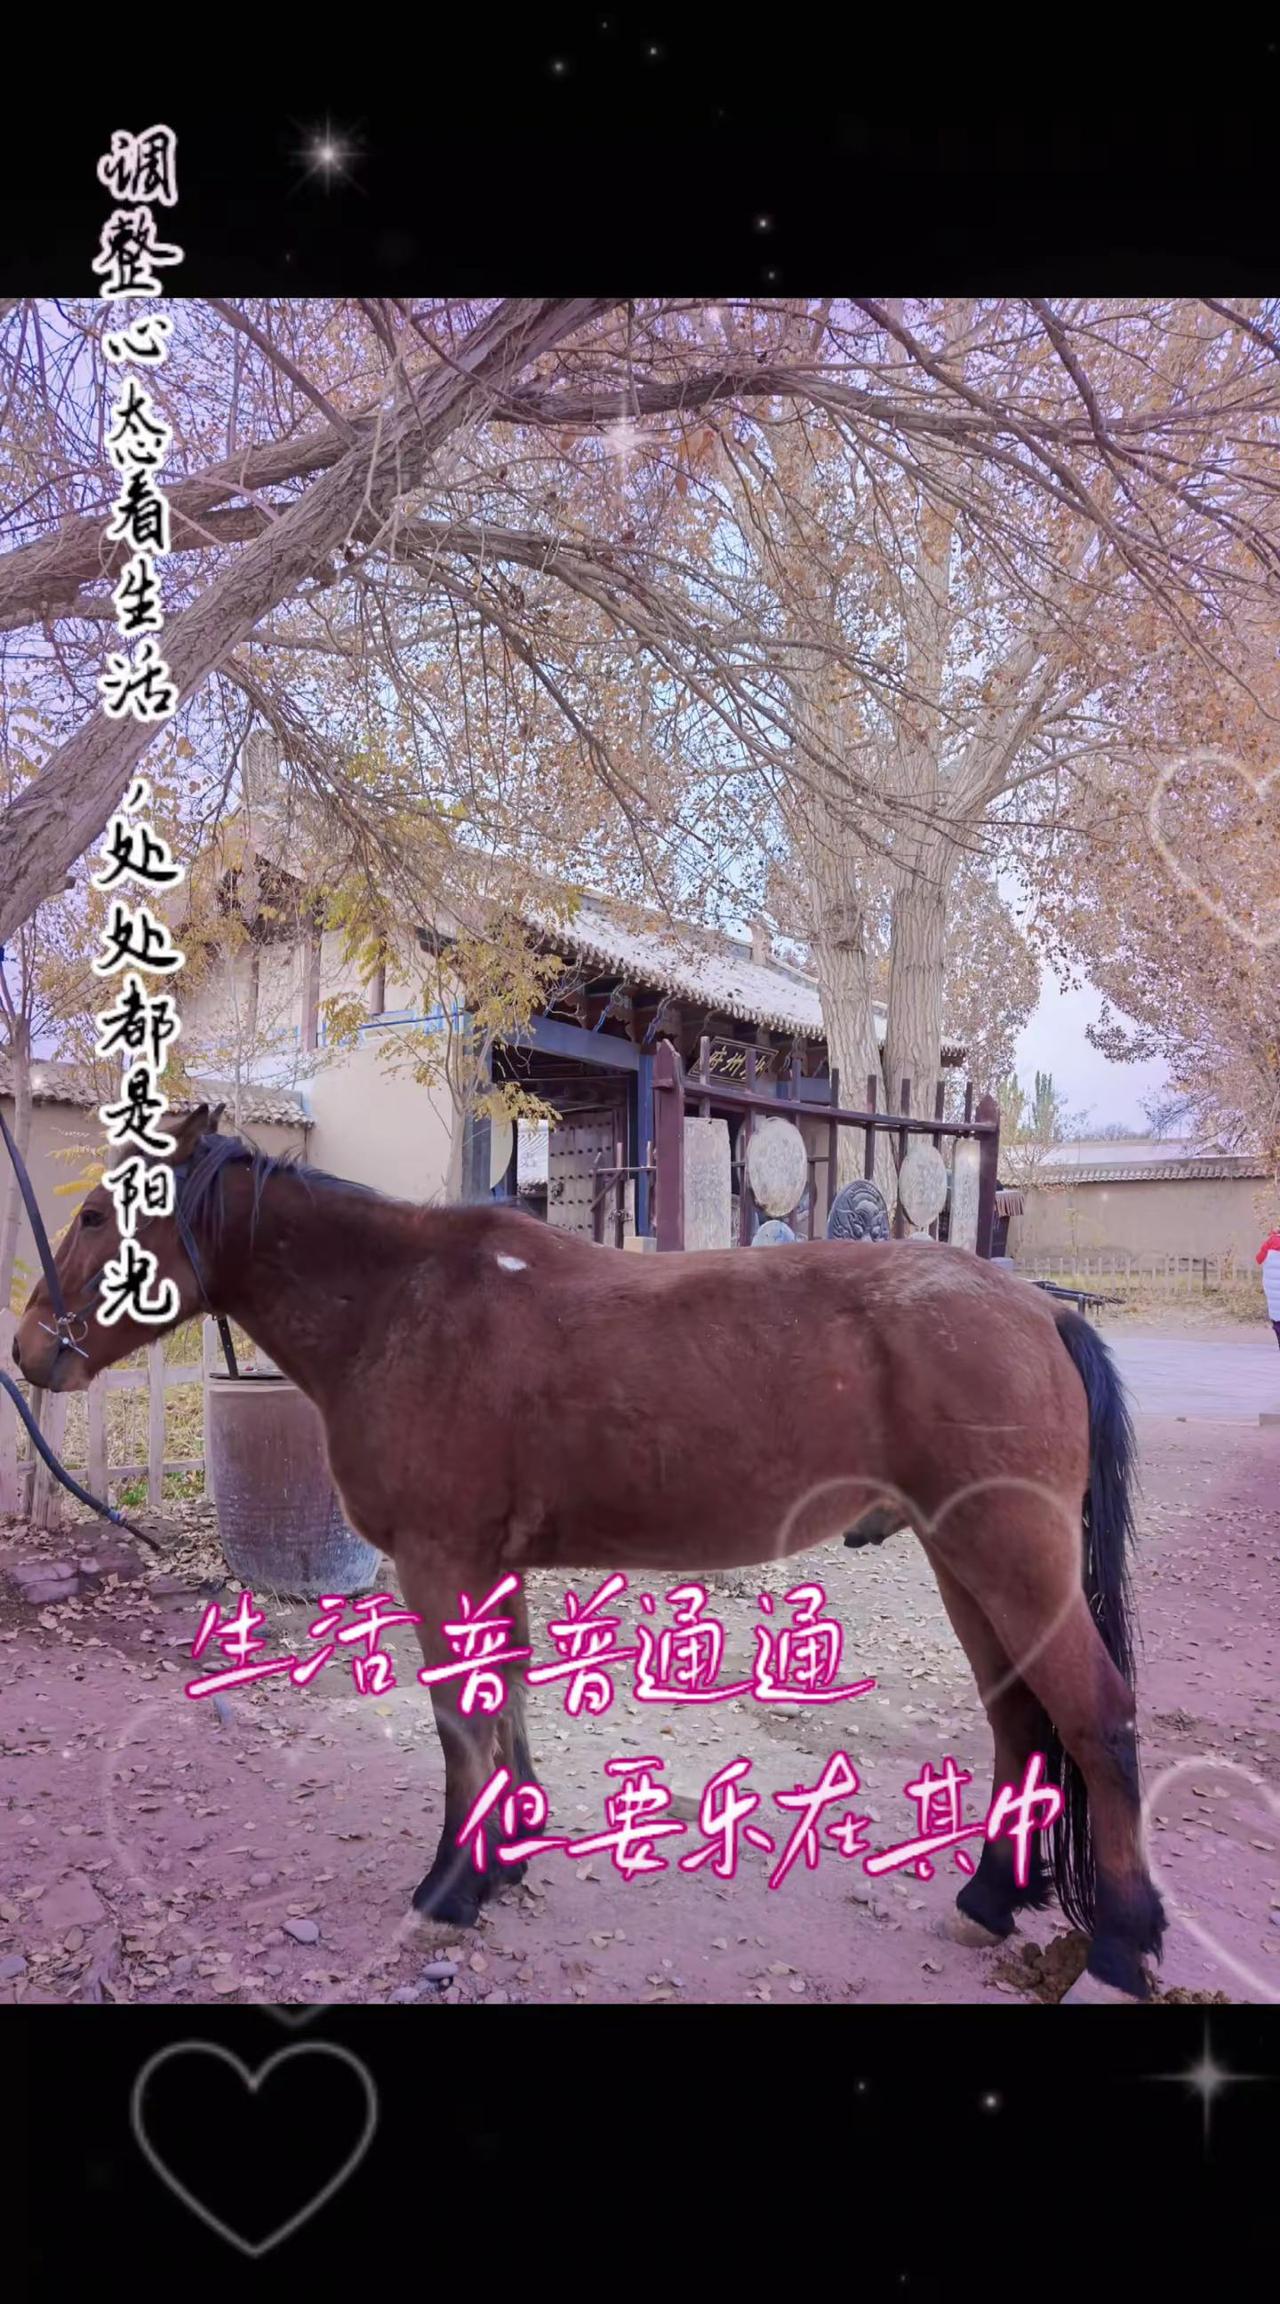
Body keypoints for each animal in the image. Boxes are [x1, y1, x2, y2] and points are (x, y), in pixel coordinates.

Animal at [14, 1103, 1166, 2003]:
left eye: (96, 1215)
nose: (29, 1349)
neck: (400, 1304)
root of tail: (1035, 1309)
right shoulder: (488, 1564)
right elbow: (505, 1699)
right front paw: (507, 1858)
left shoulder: (439, 1561)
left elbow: (459, 1722)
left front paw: (452, 1886)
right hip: (964, 1561)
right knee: (1021, 1718)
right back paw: (991, 1896)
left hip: (1008, 1557)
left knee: (1096, 1719)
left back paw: (1119, 1945)